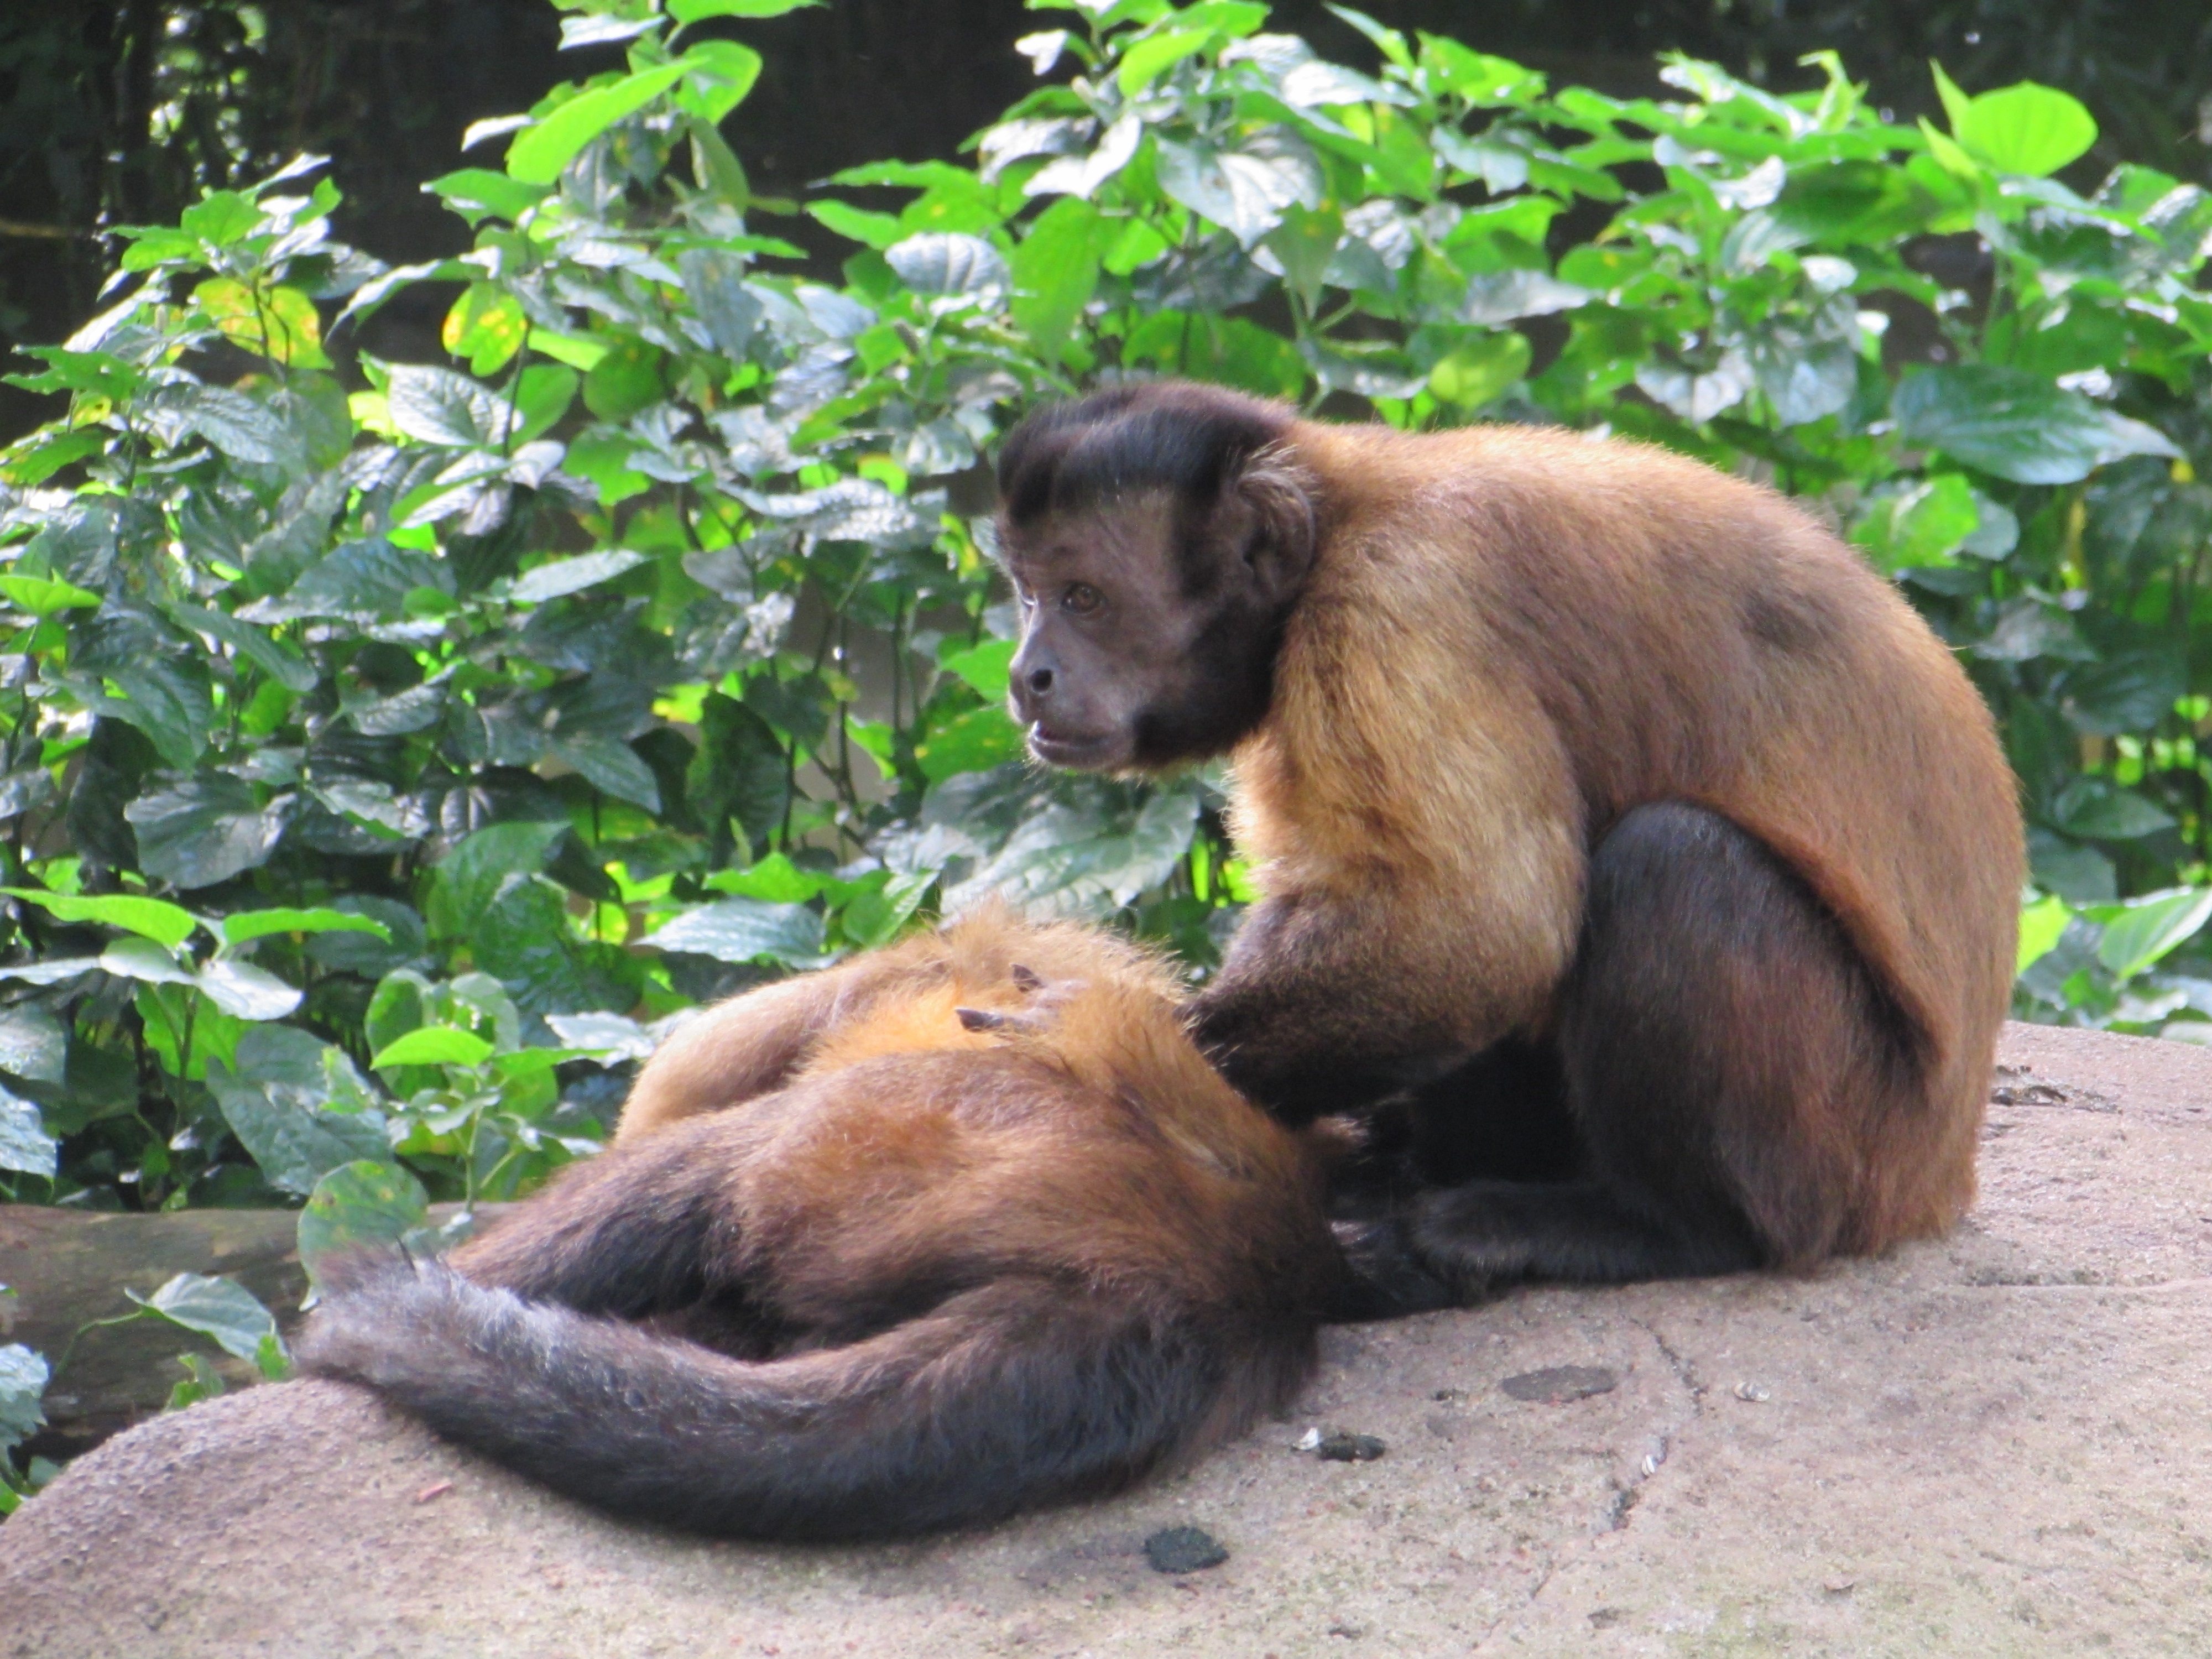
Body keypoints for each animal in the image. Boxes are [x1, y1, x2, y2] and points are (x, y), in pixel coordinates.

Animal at [995, 380, 2026, 1310]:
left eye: (1085, 599)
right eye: (1028, 595)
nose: (1025, 673)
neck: (1345, 510)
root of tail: (1939, 1182)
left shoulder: (1397, 607)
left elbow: (1485, 931)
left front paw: (1115, 1041)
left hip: (1858, 1144)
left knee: (1670, 860)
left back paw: (1670, 1228)